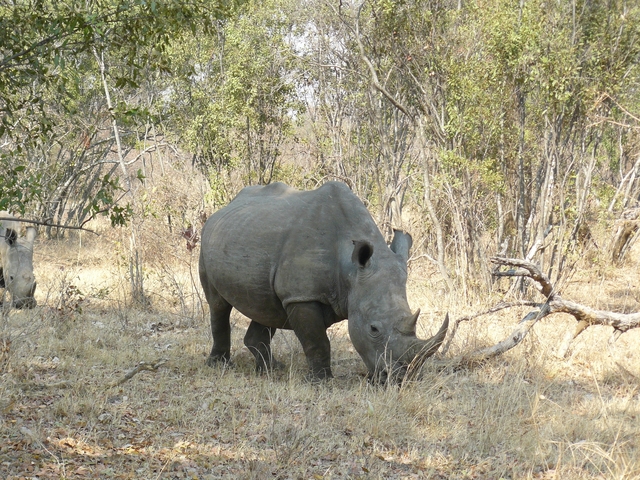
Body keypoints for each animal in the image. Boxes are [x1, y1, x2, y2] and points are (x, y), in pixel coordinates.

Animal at [199, 182, 448, 381]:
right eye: (373, 329)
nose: (401, 379)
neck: (351, 271)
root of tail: (223, 209)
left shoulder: (302, 293)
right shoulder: (302, 296)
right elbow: (317, 341)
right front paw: (320, 381)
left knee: (266, 307)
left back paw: (272, 369)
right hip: (207, 241)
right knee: (218, 305)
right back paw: (219, 365)